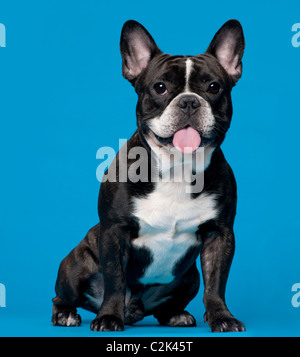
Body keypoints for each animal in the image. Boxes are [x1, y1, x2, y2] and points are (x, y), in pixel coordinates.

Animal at [51, 18, 246, 330]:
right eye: (160, 87)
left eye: (214, 87)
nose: (189, 101)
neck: (176, 167)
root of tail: (135, 310)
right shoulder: (114, 232)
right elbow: (115, 281)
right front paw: (109, 317)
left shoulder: (220, 235)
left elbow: (216, 283)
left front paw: (222, 317)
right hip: (75, 266)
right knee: (63, 295)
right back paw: (67, 313)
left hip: (189, 278)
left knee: (172, 300)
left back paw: (175, 314)